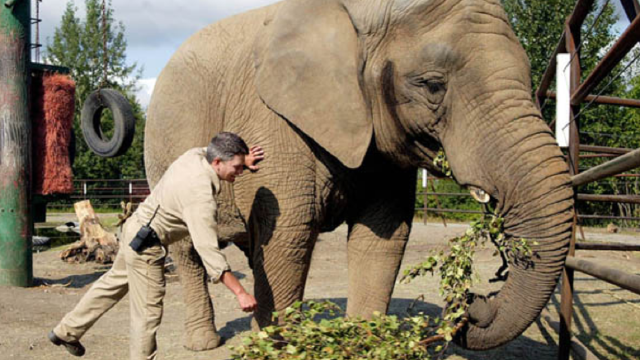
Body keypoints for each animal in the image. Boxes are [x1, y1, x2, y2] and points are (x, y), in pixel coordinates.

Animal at [146, 0, 576, 350]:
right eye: (433, 85)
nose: (473, 302)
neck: (360, 12)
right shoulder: (269, 118)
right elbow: (289, 234)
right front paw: (273, 348)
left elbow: (383, 235)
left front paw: (363, 342)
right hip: (163, 157)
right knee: (188, 249)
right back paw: (204, 343)